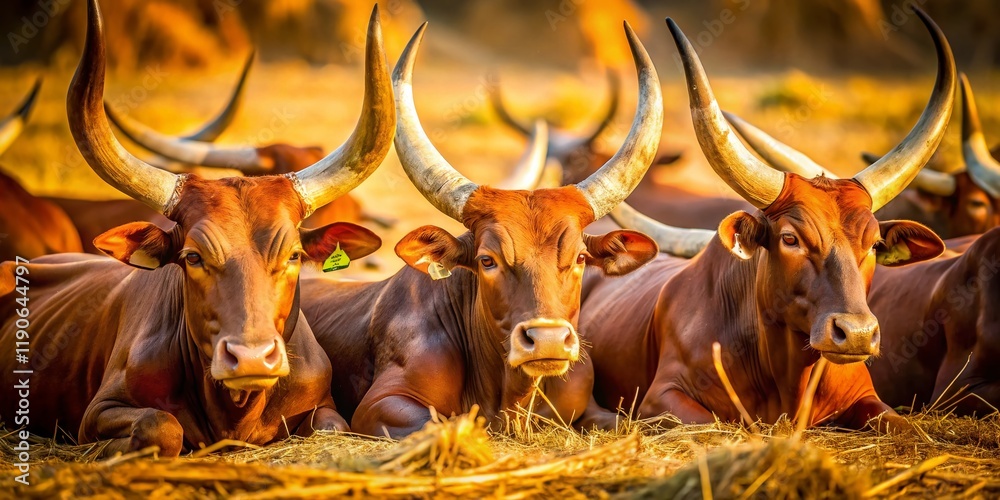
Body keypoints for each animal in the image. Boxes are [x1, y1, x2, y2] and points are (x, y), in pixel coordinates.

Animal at [572, 11, 952, 432]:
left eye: (874, 244)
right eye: (790, 239)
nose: (856, 334)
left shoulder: (869, 398)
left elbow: (902, 424)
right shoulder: (661, 398)